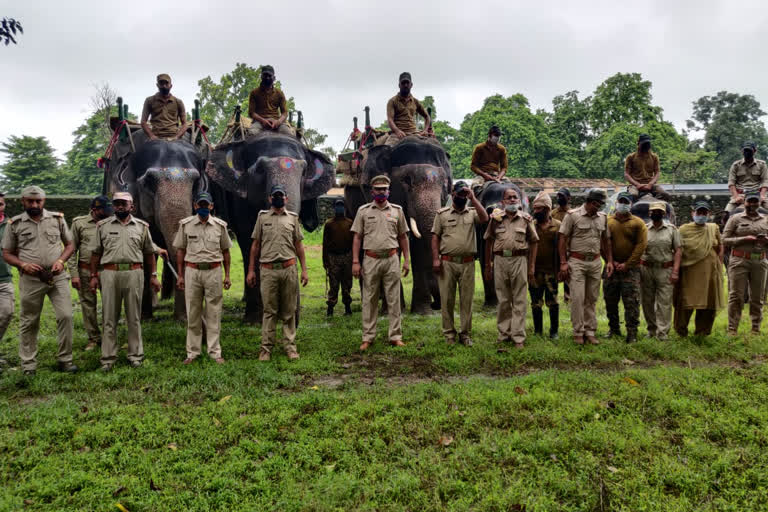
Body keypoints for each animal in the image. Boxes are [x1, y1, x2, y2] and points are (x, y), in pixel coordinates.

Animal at [344, 134, 452, 314]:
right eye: (406, 181)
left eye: (444, 184)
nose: (436, 304)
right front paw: (390, 312)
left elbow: (418, 245)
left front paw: (423, 312)